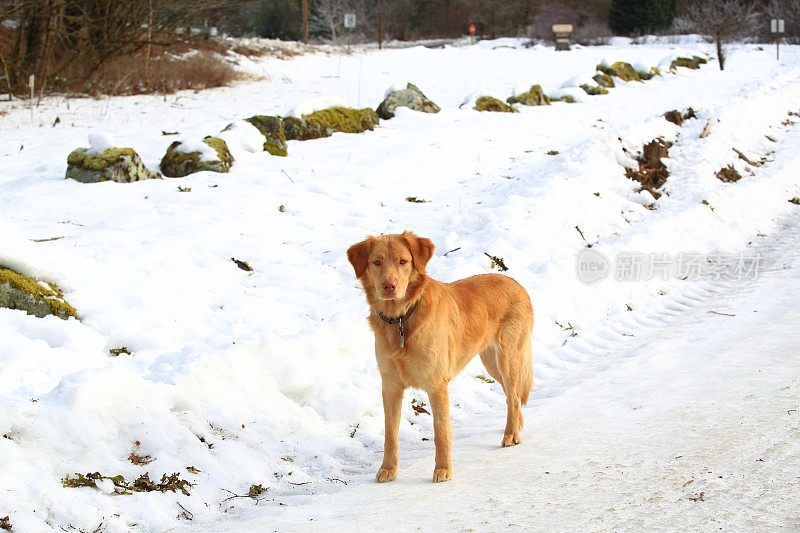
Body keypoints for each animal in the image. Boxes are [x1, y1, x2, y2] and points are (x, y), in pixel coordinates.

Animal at [346, 231, 536, 480]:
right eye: (376, 262)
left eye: (403, 261)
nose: (389, 286)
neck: (402, 319)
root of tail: (517, 283)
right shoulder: (390, 385)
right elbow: (390, 433)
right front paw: (388, 468)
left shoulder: (436, 384)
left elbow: (441, 431)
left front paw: (443, 469)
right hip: (492, 363)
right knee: (511, 397)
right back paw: (518, 426)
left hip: (507, 359)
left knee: (513, 397)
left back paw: (511, 434)